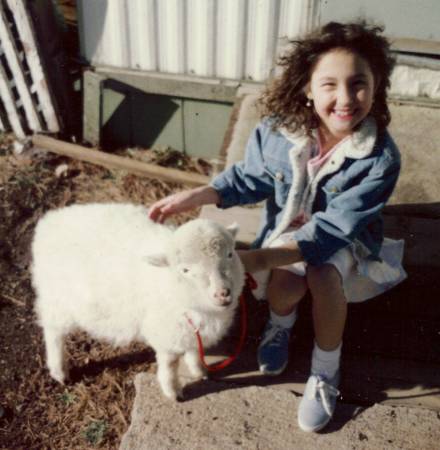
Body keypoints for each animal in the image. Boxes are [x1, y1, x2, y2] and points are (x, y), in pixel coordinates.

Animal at [31, 202, 244, 400]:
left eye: (230, 254)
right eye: (185, 270)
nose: (222, 293)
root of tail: (50, 221)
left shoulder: (186, 330)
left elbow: (193, 351)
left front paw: (200, 371)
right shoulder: (165, 333)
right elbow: (170, 364)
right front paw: (173, 392)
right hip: (57, 297)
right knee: (53, 331)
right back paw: (59, 370)